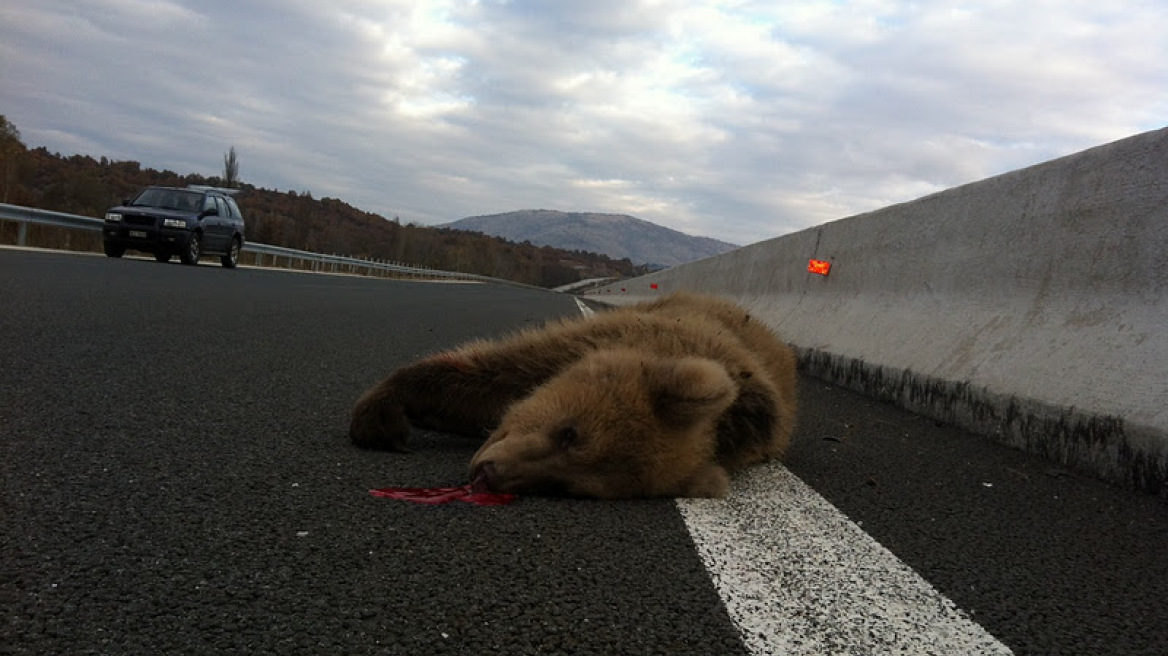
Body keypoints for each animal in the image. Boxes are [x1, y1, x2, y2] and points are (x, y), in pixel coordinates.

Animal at [350, 290, 798, 494]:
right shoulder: (585, 341)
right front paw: (382, 418)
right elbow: (488, 374)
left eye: (565, 486)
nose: (490, 475)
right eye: (569, 432)